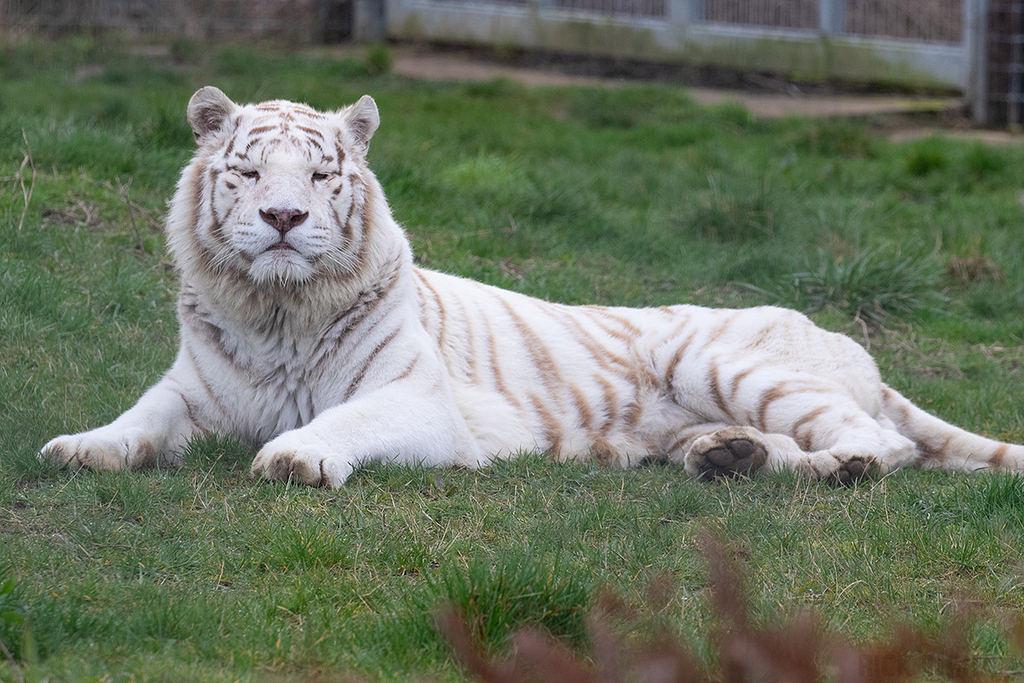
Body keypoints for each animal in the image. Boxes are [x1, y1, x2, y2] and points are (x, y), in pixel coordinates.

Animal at [40, 86, 1024, 487]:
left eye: (320, 176)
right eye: (248, 172)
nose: (283, 217)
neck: (279, 312)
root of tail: (844, 338)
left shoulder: (418, 400)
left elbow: (341, 422)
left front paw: (296, 455)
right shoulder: (191, 390)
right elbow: (136, 419)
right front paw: (79, 447)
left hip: (724, 360)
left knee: (880, 443)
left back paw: (834, 465)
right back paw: (726, 458)